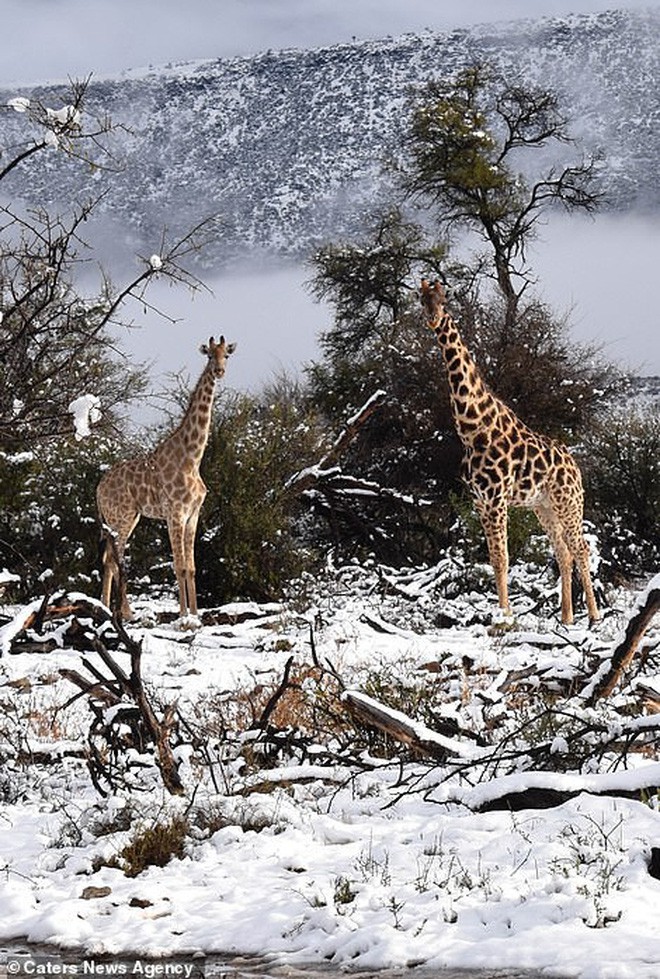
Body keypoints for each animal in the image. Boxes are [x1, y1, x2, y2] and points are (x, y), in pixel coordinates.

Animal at [95, 336, 235, 620]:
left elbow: (191, 567)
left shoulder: (193, 514)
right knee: (115, 560)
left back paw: (109, 608)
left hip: (127, 518)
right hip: (121, 517)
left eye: (226, 354)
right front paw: (183, 616)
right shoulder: (175, 513)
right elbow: (178, 565)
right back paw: (123, 612)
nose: (219, 371)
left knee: (110, 559)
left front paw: (195, 614)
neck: (192, 458)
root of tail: (98, 488)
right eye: (209, 355)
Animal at [420, 280, 600, 624]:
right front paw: (502, 613)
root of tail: (575, 465)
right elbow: (493, 558)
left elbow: (503, 557)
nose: (433, 320)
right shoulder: (479, 501)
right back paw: (567, 618)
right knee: (563, 552)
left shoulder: (496, 498)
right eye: (422, 300)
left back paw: (595, 616)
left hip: (569, 502)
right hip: (544, 507)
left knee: (581, 548)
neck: (473, 428)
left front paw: (504, 616)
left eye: (443, 299)